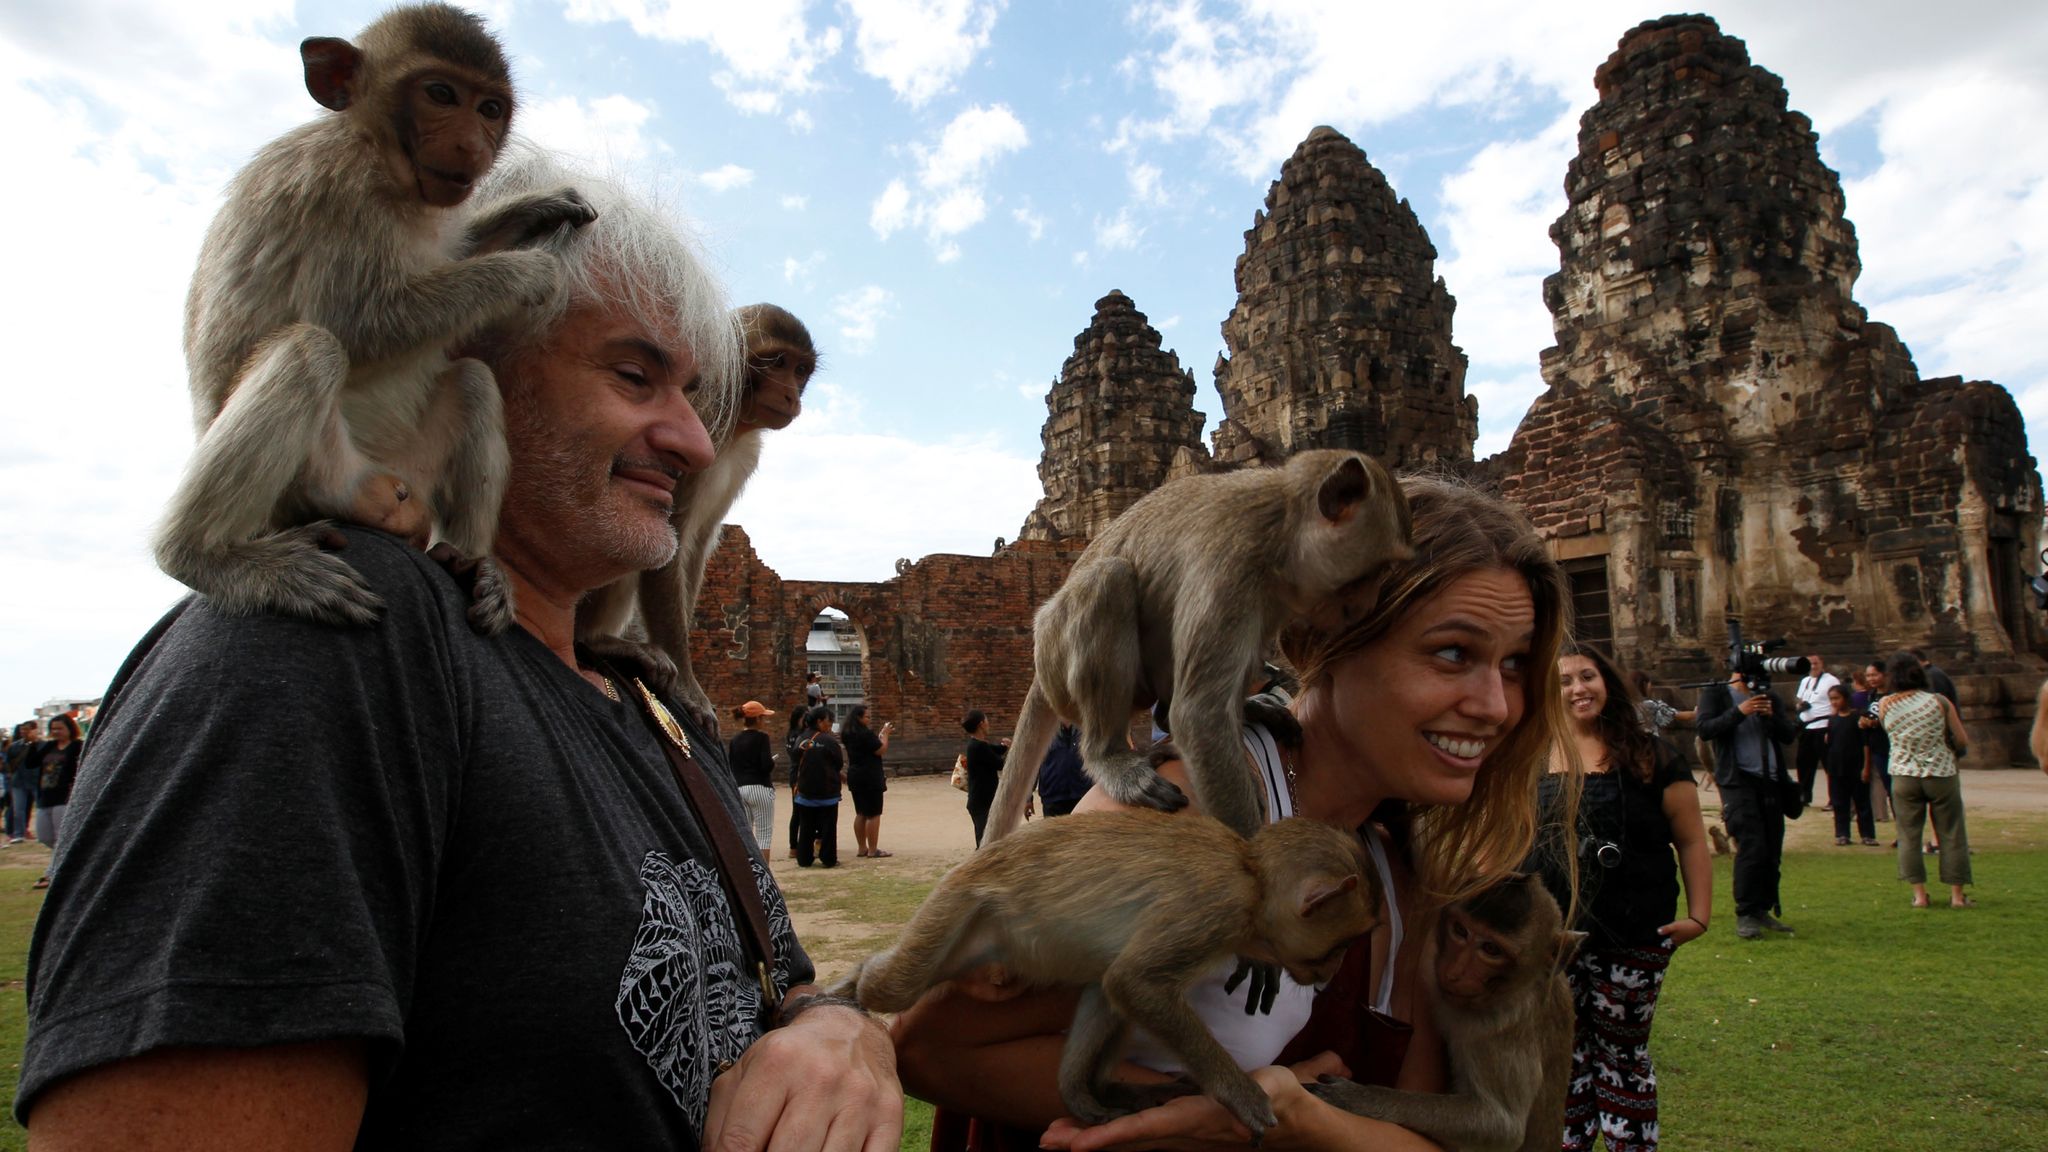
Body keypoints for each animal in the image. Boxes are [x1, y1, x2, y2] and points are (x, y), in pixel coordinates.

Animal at [155, 2, 598, 627]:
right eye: (440, 94)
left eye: (489, 108)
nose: (471, 147)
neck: (381, 154)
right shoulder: (341, 188)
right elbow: (361, 325)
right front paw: (532, 272)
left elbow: (452, 256)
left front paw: (540, 208)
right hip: (319, 478)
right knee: (312, 349)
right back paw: (203, 557)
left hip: (410, 469)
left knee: (473, 381)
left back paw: (472, 562)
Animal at [827, 807, 1376, 1139]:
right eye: (1343, 944)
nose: (1333, 970)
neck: (1253, 878)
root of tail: (981, 857)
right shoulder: (1215, 908)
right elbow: (1135, 982)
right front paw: (1240, 1093)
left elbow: (1110, 985)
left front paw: (1076, 1094)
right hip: (955, 905)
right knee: (895, 986)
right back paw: (852, 985)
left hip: (976, 940)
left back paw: (1102, 1088)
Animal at [978, 448, 1409, 844]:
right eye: (1375, 571)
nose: (1368, 604)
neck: (1283, 528)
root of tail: (1038, 663)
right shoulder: (1233, 565)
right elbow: (1198, 715)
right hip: (1056, 654)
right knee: (1110, 581)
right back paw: (1111, 758)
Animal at [1310, 869, 1581, 1147]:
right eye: (1460, 930)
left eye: (1491, 949)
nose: (1454, 972)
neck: (1514, 989)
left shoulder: (1497, 1034)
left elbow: (1503, 1127)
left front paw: (1360, 1098)